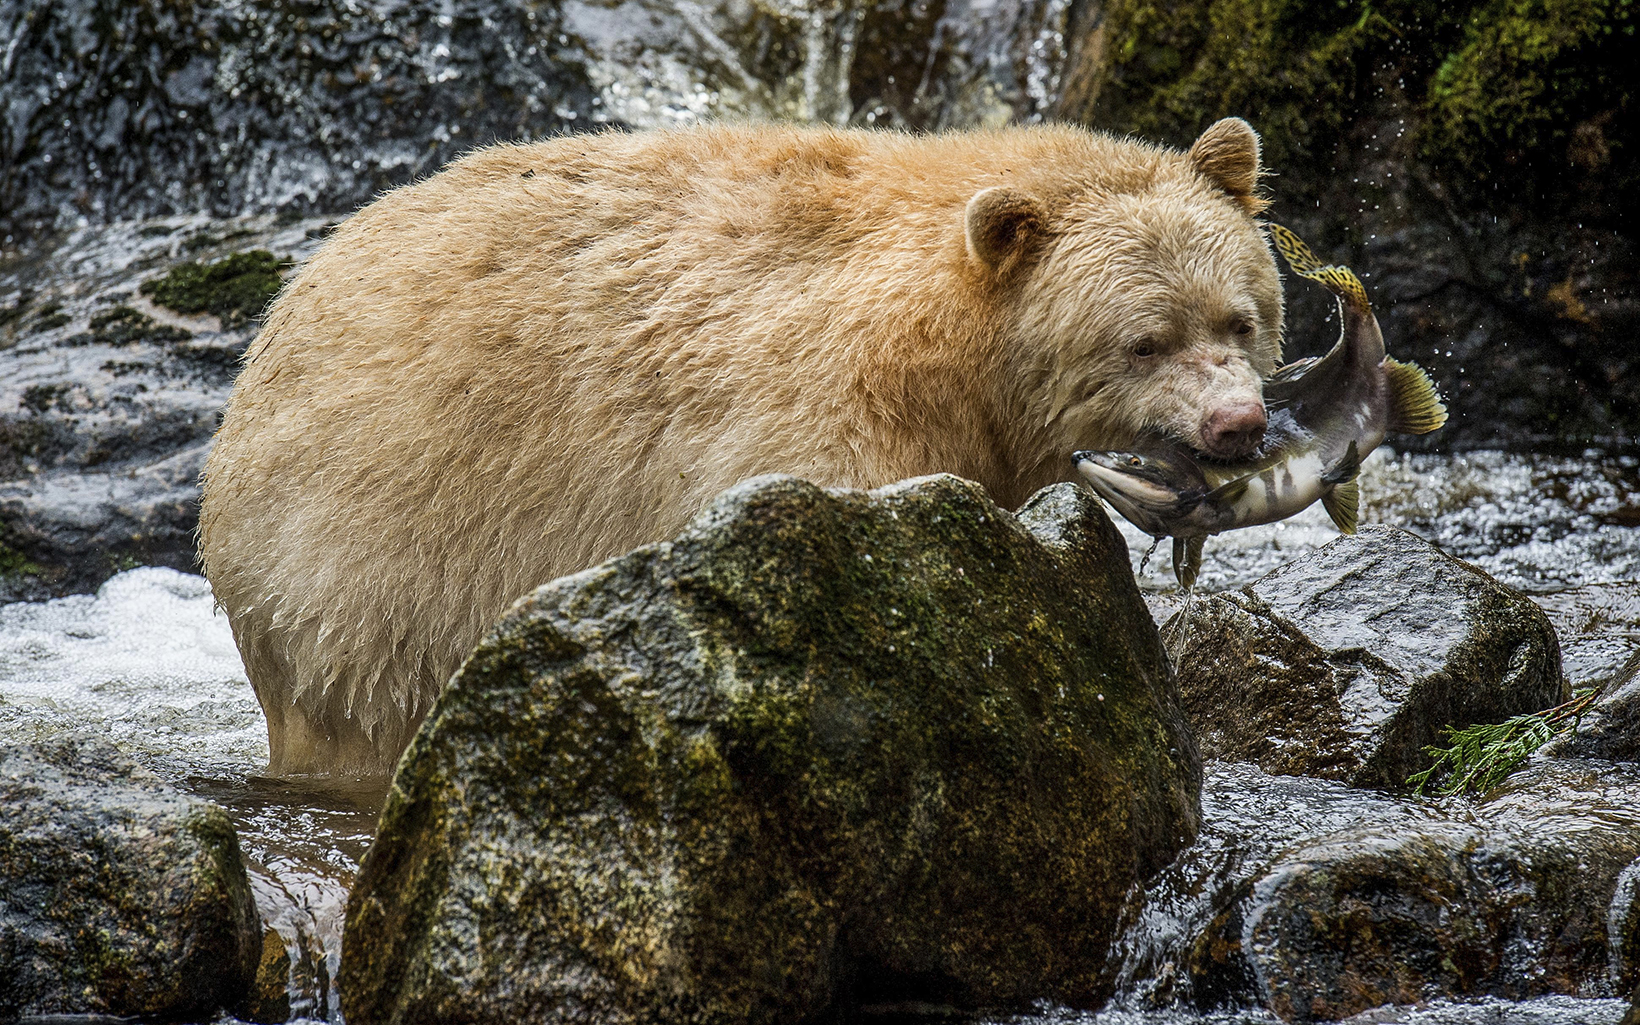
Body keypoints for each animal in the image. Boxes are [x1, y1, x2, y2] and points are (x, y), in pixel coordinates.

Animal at [198, 118, 1285, 774]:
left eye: (1239, 316)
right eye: (1143, 341)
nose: (1238, 425)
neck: (950, 359)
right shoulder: (813, 415)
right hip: (370, 576)